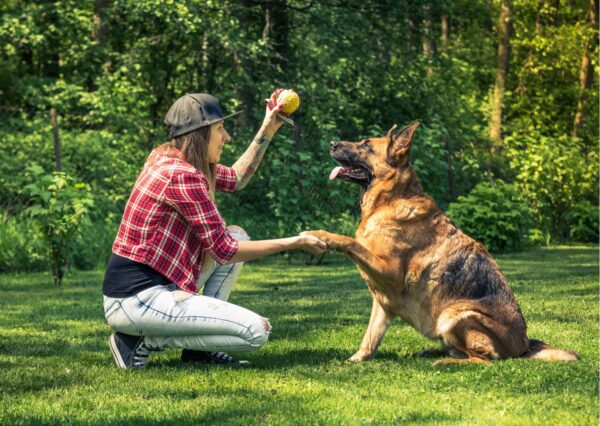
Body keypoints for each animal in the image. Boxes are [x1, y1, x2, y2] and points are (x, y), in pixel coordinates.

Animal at [304, 124, 576, 366]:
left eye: (366, 145)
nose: (332, 143)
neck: (391, 199)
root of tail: (524, 346)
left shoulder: (390, 274)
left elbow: (351, 242)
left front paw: (321, 235)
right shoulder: (383, 301)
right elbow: (370, 338)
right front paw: (357, 359)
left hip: (454, 315)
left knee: (482, 359)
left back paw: (446, 361)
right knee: (462, 351)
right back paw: (435, 352)